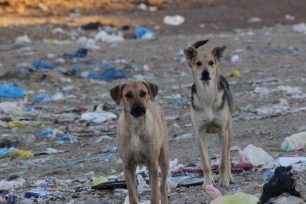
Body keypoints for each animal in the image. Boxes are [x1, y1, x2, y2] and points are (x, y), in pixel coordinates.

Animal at [184, 39, 234, 186]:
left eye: (211, 62)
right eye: (198, 63)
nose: (205, 73)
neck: (207, 96)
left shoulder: (223, 131)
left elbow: (223, 161)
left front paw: (224, 180)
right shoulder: (199, 134)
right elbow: (205, 162)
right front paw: (207, 182)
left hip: (229, 132)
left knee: (227, 155)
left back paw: (230, 176)